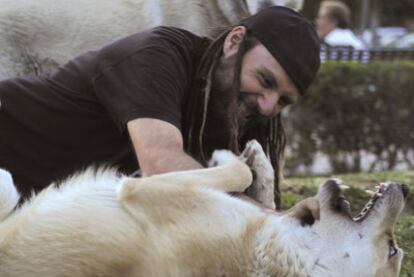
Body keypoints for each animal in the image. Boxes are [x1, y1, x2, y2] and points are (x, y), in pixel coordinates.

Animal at [0, 140, 408, 276]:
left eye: (392, 249)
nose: (404, 185)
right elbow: (257, 185)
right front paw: (257, 161)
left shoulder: (143, 190)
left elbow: (237, 171)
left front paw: (229, 156)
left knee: (6, 187)